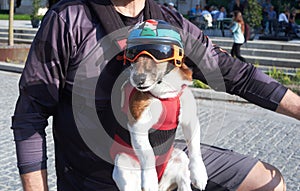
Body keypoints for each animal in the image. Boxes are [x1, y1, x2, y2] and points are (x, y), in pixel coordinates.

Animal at [111, 54, 207, 191]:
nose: (137, 79)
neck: (164, 92)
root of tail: (162, 185)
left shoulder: (190, 121)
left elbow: (194, 147)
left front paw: (199, 174)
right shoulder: (138, 126)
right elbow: (148, 154)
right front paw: (150, 180)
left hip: (180, 156)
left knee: (183, 181)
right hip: (122, 161)